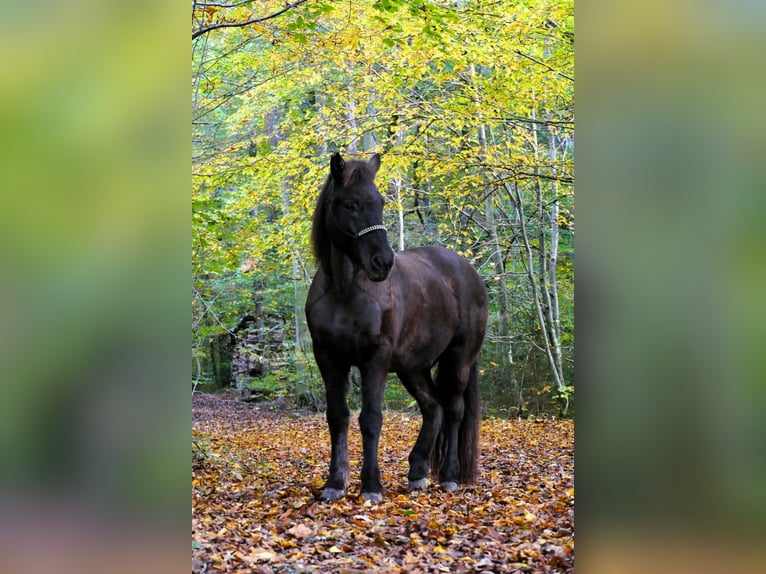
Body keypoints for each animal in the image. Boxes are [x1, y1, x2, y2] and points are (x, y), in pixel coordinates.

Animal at [305, 152, 488, 502]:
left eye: (380, 202)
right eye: (350, 204)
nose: (383, 262)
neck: (346, 292)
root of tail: (466, 270)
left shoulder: (376, 359)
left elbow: (371, 419)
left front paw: (371, 486)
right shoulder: (329, 360)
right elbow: (338, 417)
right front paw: (335, 482)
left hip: (458, 360)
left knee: (454, 410)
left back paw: (449, 476)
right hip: (412, 367)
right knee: (433, 408)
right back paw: (417, 473)